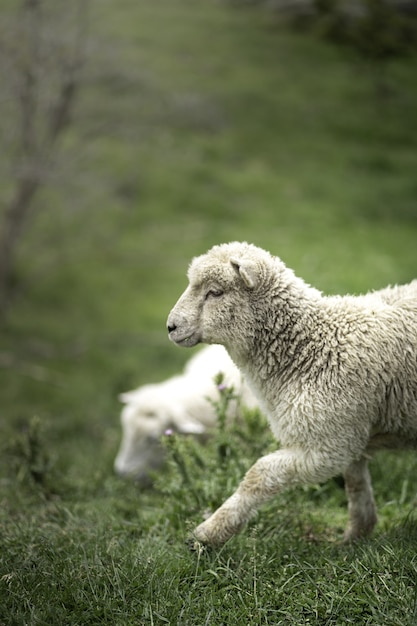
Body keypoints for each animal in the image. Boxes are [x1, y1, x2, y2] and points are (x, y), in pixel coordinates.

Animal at [166, 241, 416, 544]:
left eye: (215, 292)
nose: (171, 327)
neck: (311, 347)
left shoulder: (327, 446)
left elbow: (259, 474)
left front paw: (209, 533)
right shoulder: (346, 432)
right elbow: (355, 484)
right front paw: (356, 536)